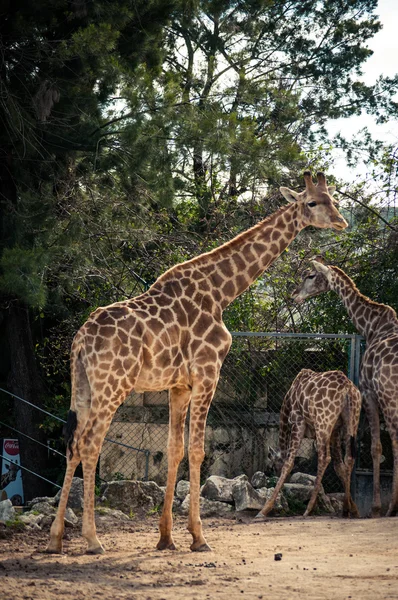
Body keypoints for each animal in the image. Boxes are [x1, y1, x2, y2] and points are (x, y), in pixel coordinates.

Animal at [45, 170, 346, 552]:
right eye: (312, 202)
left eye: (333, 199)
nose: (341, 221)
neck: (222, 293)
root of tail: (80, 340)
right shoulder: (207, 373)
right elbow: (198, 452)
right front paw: (199, 537)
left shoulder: (179, 386)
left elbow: (175, 449)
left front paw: (166, 537)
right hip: (113, 385)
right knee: (89, 444)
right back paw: (93, 539)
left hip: (83, 386)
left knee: (72, 444)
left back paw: (55, 538)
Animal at [256, 368, 362, 516]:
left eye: (271, 466)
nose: (274, 475)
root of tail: (347, 387)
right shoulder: (335, 430)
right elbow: (339, 466)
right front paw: (352, 508)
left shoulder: (297, 422)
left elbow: (289, 462)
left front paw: (264, 510)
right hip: (351, 420)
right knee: (349, 457)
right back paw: (346, 509)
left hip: (323, 421)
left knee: (324, 457)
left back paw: (308, 509)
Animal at [292, 260, 398, 516]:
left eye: (310, 275)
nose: (293, 296)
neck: (371, 327)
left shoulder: (369, 393)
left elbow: (376, 448)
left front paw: (376, 508)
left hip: (389, 397)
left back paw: (391, 507)